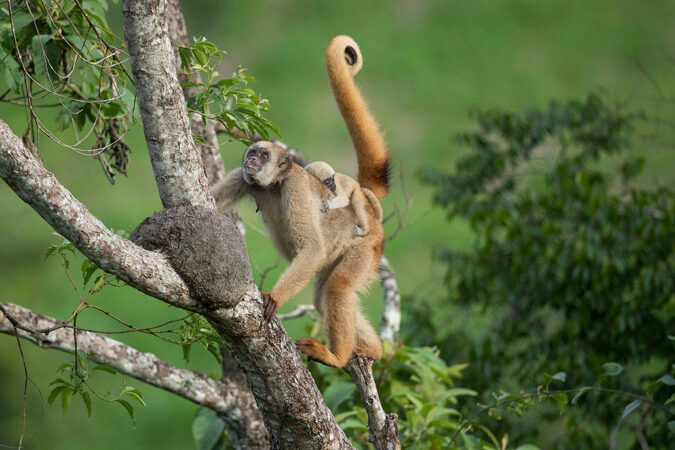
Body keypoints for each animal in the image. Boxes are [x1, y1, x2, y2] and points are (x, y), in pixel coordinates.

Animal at [214, 34, 388, 366]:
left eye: (263, 155)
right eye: (252, 153)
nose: (252, 160)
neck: (273, 186)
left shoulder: (293, 185)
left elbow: (313, 248)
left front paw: (274, 298)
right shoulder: (243, 177)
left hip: (367, 245)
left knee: (338, 289)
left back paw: (337, 357)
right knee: (323, 298)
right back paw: (373, 349)